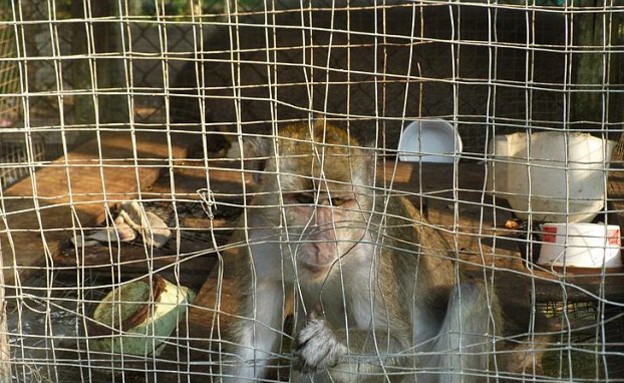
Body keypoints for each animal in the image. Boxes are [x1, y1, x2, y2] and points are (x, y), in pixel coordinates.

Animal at [219, 121, 508, 383]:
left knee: (472, 293)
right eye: (304, 200)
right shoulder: (256, 241)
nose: (322, 244)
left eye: (337, 201)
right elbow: (254, 343)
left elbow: (399, 347)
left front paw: (332, 341)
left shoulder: (372, 252)